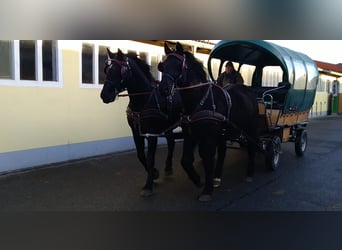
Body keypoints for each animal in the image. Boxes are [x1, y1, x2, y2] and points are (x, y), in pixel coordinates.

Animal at [101, 48, 183, 197]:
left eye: (119, 70)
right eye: (107, 69)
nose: (105, 95)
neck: (143, 99)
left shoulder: (152, 133)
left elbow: (150, 158)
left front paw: (148, 185)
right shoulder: (135, 131)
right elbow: (140, 155)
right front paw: (154, 173)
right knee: (171, 142)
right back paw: (168, 168)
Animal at [159, 41, 258, 201]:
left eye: (178, 65)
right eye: (163, 65)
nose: (163, 89)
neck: (200, 99)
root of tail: (249, 91)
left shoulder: (208, 137)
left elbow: (207, 159)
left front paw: (207, 190)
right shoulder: (191, 135)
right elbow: (186, 160)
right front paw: (198, 180)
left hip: (251, 127)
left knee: (252, 146)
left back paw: (250, 172)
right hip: (223, 133)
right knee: (223, 151)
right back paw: (217, 177)